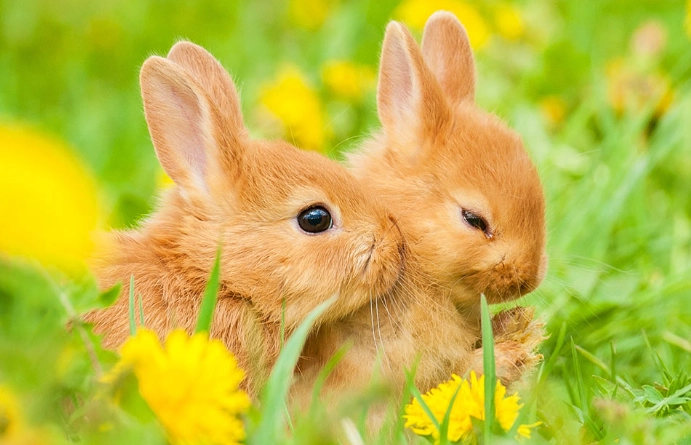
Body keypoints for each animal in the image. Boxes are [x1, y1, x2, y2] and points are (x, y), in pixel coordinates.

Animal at [292, 11, 547, 409]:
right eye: (474, 220)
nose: (528, 280)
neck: (404, 238)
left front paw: (515, 325)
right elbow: (454, 373)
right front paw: (511, 351)